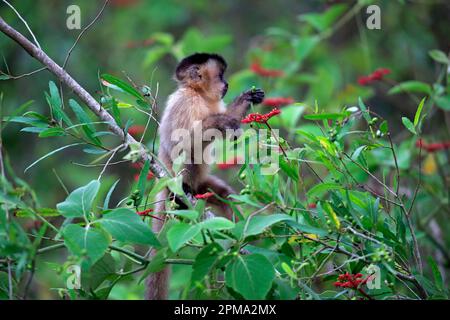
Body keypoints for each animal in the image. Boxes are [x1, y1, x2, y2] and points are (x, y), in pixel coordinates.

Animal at [145, 51, 264, 298]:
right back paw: (183, 192)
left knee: (224, 195)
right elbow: (181, 144)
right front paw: (217, 121)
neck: (198, 95)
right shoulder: (185, 102)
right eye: (221, 76)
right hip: (173, 179)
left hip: (203, 188)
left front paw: (246, 99)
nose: (227, 84)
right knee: (187, 156)